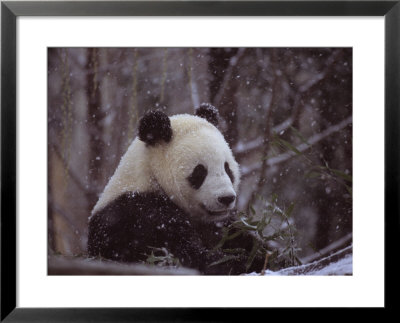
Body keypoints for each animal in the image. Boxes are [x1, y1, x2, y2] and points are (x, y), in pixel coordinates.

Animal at [86, 104, 266, 276]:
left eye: (227, 169)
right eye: (200, 172)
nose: (226, 198)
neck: (152, 175)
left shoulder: (218, 223)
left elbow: (237, 235)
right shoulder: (140, 216)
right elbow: (187, 257)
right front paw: (250, 261)